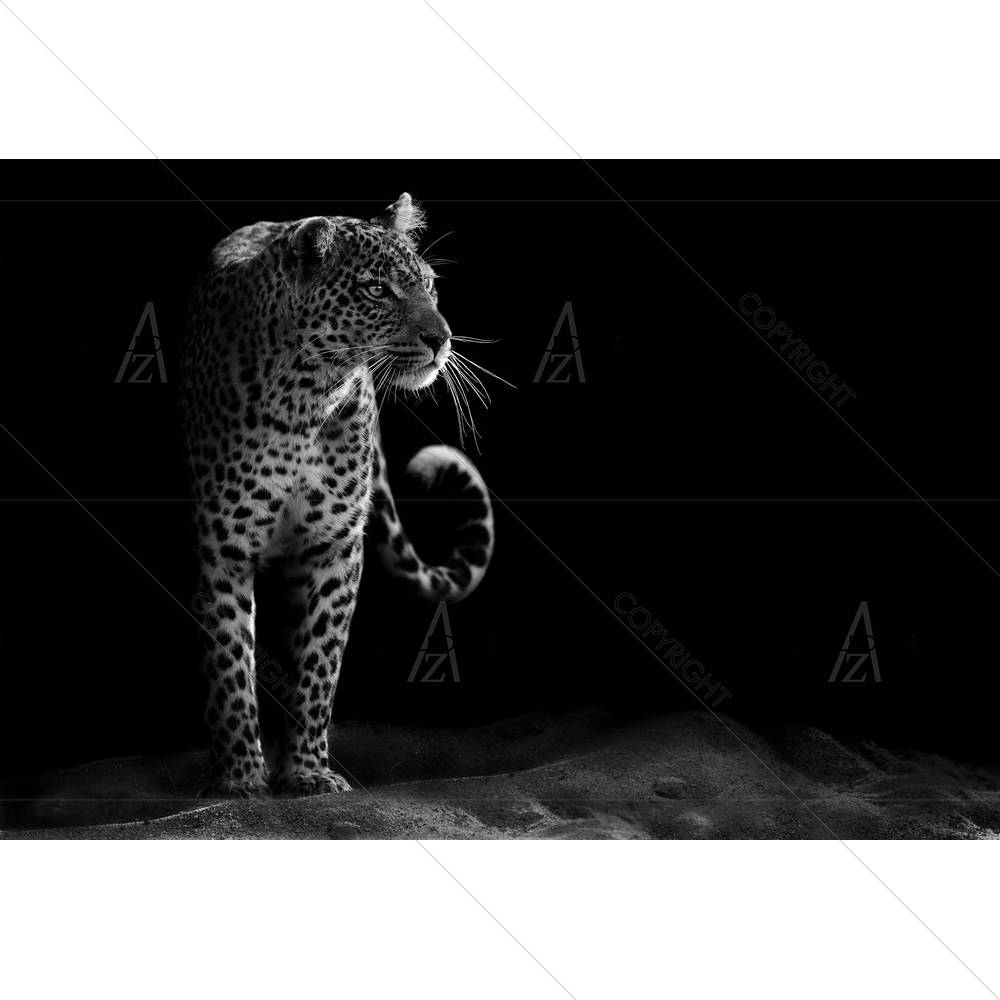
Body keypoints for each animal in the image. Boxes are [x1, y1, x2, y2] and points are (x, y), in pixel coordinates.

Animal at [180, 193, 494, 797]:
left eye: (429, 285)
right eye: (377, 290)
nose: (441, 338)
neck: (305, 395)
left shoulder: (333, 546)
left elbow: (319, 663)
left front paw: (306, 771)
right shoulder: (223, 544)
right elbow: (229, 664)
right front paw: (239, 778)